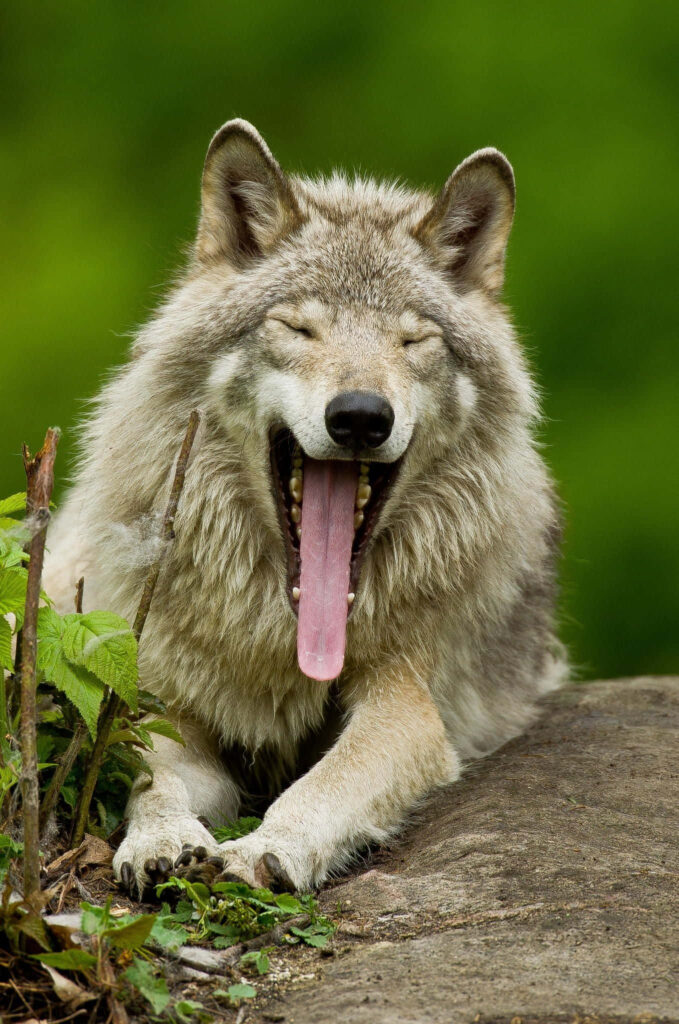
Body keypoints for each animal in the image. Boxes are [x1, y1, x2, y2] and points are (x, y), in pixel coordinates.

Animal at [43, 119, 566, 897]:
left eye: (411, 339)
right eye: (298, 329)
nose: (360, 416)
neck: (286, 638)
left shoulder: (407, 704)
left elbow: (324, 783)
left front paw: (266, 849)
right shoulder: (167, 702)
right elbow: (155, 777)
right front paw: (164, 841)